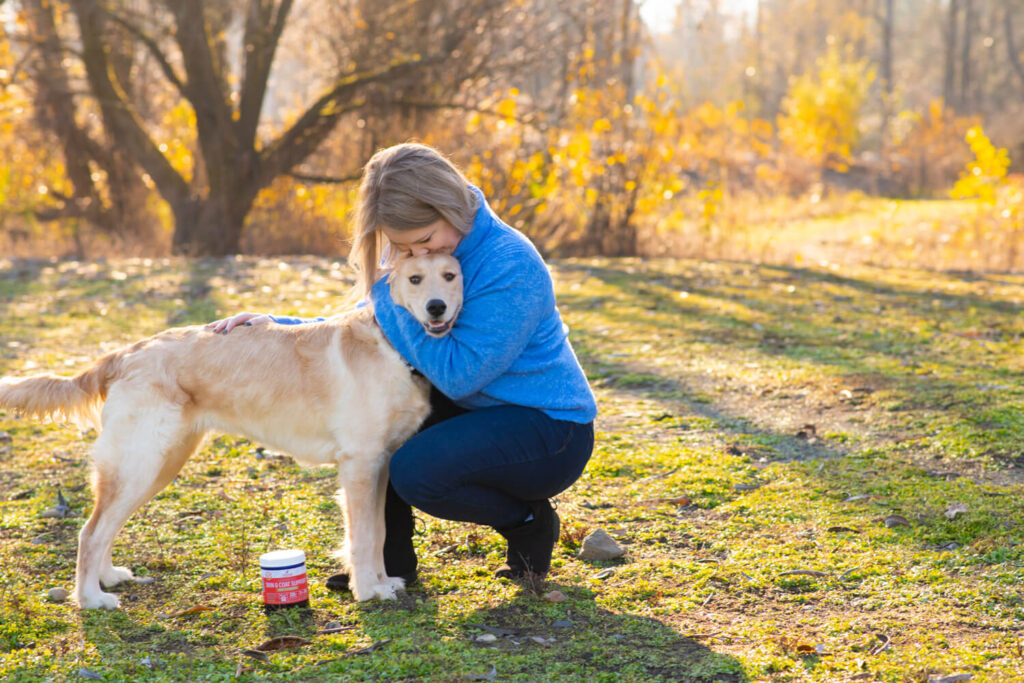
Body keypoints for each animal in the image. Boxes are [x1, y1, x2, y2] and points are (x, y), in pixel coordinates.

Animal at [0, 253, 460, 610]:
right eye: (415, 280)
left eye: (450, 275)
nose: (436, 307)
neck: (391, 340)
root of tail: (125, 352)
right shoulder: (360, 465)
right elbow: (363, 537)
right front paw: (367, 590)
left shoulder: (381, 465)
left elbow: (378, 532)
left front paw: (382, 582)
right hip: (140, 465)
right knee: (89, 532)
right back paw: (90, 598)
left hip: (157, 466)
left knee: (105, 527)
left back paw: (107, 577)